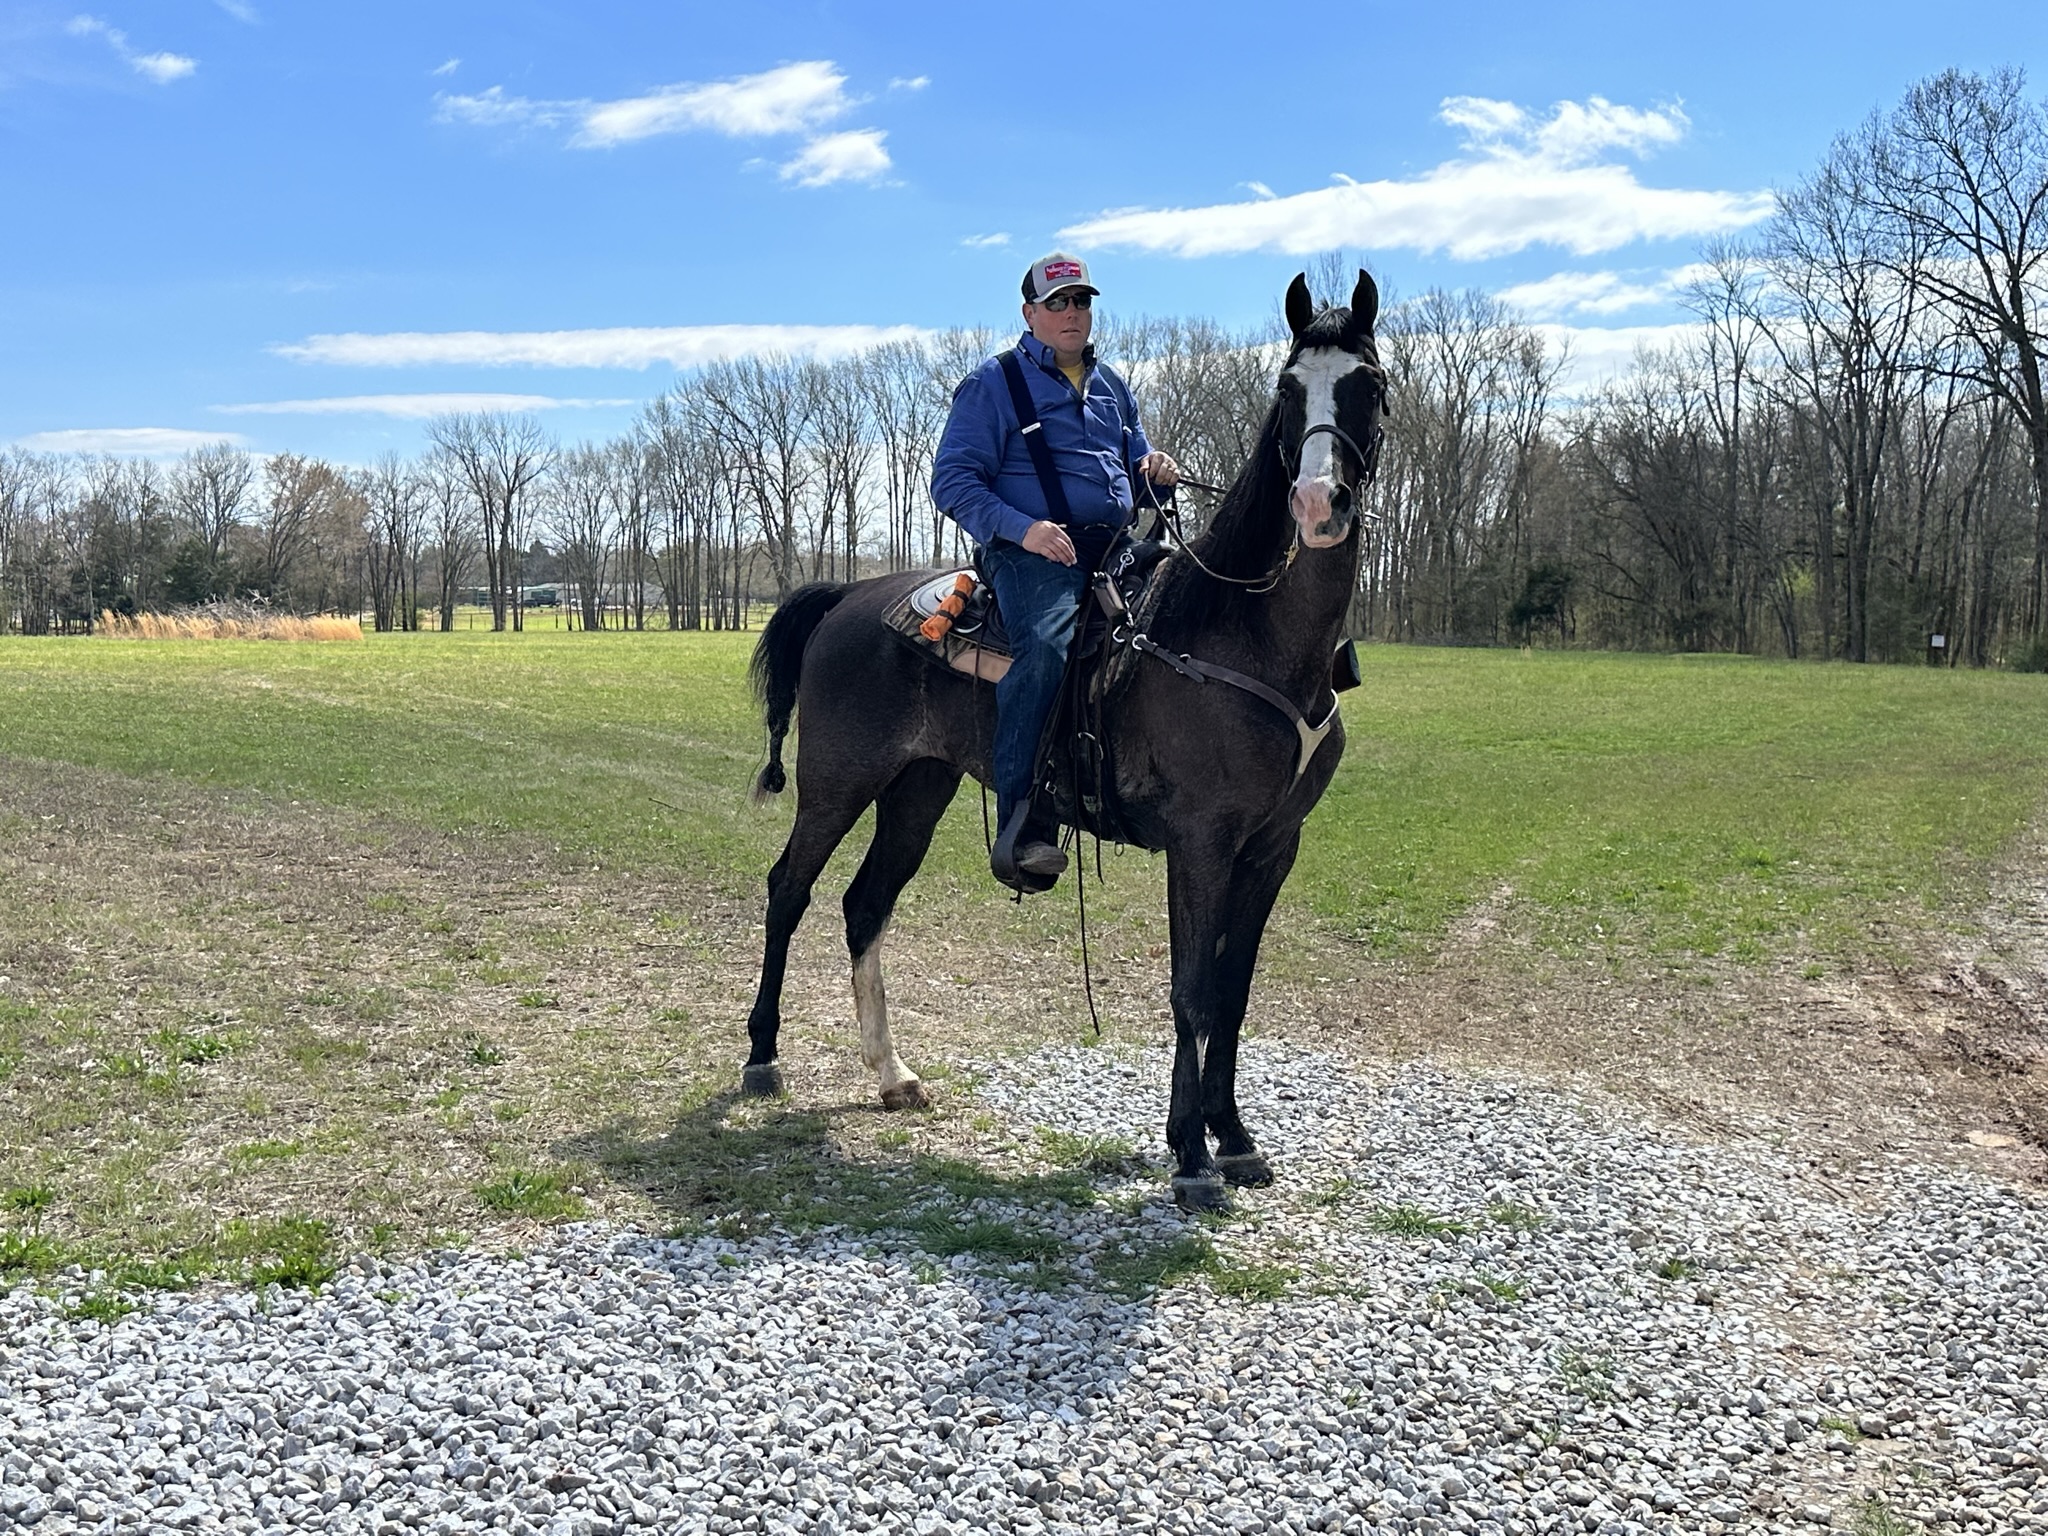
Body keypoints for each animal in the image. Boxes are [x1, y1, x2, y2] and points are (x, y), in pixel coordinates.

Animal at [739, 271, 1387, 1211]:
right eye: (1288, 390)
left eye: (1368, 384)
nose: (1316, 503)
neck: (1240, 629)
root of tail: (848, 596)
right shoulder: (1200, 842)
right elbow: (1192, 990)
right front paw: (1191, 1154)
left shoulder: (1274, 846)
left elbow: (1232, 992)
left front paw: (1234, 1139)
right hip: (838, 782)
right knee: (788, 888)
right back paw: (760, 1056)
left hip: (918, 790)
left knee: (865, 905)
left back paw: (892, 1073)